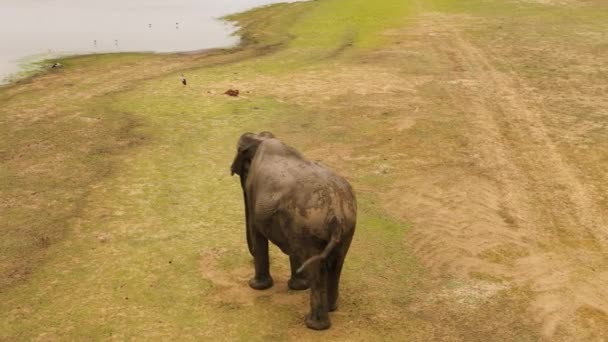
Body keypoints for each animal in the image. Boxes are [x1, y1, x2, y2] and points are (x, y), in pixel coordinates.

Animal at [232, 131, 356, 328]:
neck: (262, 138)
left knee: (317, 267)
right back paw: (331, 309)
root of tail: (335, 213)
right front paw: (298, 287)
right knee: (337, 262)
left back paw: (314, 325)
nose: (249, 258)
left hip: (311, 228)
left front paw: (256, 286)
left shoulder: (253, 193)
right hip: (343, 228)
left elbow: (257, 232)